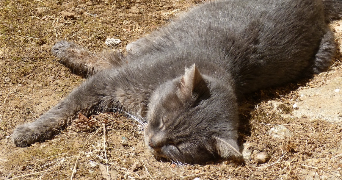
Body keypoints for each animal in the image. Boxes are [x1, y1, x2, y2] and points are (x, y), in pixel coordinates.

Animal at [12, 0, 340, 164]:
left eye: (177, 146)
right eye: (162, 120)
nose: (152, 142)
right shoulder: (109, 81)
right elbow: (62, 109)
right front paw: (29, 131)